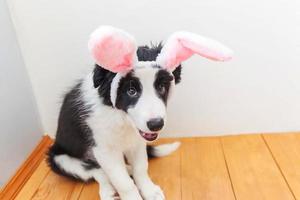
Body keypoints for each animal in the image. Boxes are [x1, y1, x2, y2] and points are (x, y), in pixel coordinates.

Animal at [47, 25, 232, 199]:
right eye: (131, 91)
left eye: (161, 87)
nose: (156, 124)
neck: (121, 119)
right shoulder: (105, 149)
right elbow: (122, 181)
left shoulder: (137, 142)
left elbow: (141, 168)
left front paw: (149, 190)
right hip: (62, 160)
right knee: (96, 172)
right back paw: (107, 191)